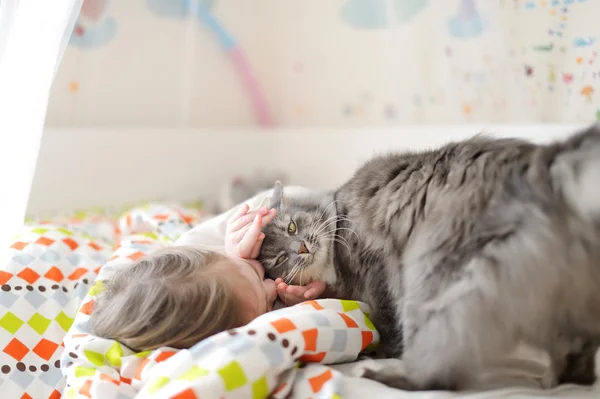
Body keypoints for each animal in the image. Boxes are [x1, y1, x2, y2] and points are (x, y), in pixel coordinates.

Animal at [258, 125, 600, 390]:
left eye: (291, 228)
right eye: (280, 260)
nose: (302, 249)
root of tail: (543, 163)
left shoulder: (379, 274)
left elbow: (388, 328)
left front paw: (382, 353)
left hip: (431, 285)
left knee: (436, 375)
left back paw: (378, 374)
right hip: (550, 304)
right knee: (578, 358)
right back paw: (555, 381)